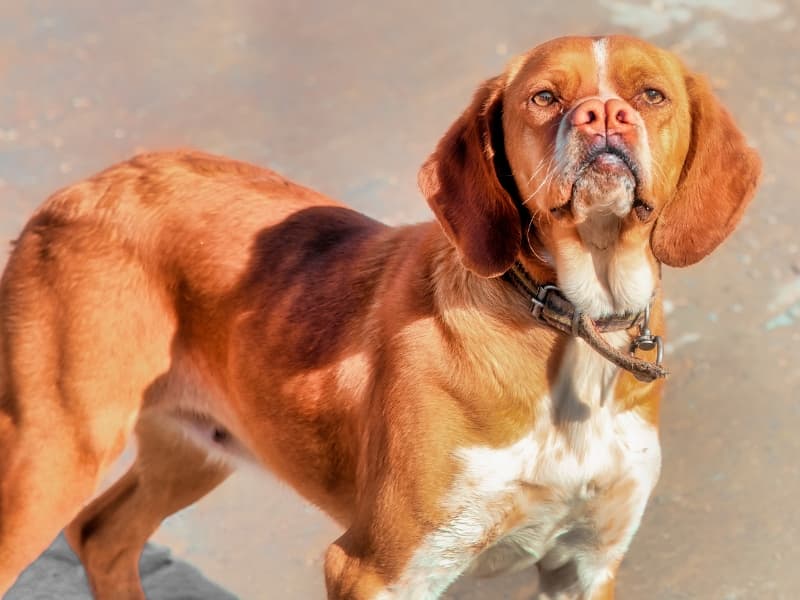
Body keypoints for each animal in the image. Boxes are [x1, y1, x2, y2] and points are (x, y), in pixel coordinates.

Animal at [0, 36, 760, 600]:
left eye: (651, 95)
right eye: (545, 98)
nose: (603, 117)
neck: (569, 320)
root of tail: (76, 192)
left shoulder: (585, 562)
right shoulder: (379, 569)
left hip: (194, 445)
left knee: (104, 535)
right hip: (55, 451)